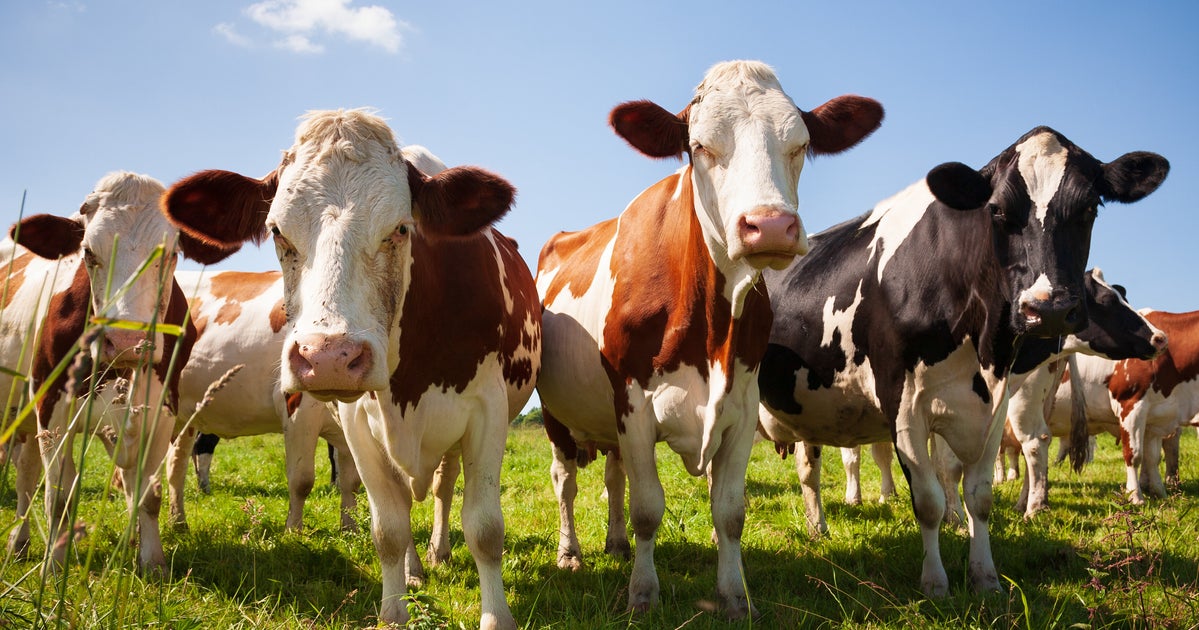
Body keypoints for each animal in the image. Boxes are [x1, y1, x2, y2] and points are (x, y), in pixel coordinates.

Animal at [0, 171, 217, 573]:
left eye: (172, 254)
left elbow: (148, 495)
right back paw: (20, 542)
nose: (127, 340)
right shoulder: (52, 408)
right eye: (88, 252)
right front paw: (54, 566)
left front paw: (152, 562)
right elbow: (59, 498)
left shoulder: (162, 410)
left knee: (27, 470)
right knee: (28, 477)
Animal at [165, 269, 361, 532]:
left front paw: (350, 529)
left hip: (184, 417)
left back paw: (178, 523)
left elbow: (352, 482)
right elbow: (302, 480)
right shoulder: (298, 410)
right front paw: (293, 531)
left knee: (176, 465)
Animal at [535, 60, 883, 617]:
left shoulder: (740, 406)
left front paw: (735, 596)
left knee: (613, 477)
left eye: (801, 144)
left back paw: (615, 543)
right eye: (699, 146)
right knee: (565, 481)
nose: (770, 226)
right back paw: (571, 554)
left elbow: (729, 512)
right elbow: (648, 507)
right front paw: (643, 593)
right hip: (556, 413)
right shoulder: (633, 404)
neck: (709, 327)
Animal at [756, 126, 1169, 597]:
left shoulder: (994, 405)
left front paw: (985, 577)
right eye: (998, 210)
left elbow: (979, 497)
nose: (1046, 309)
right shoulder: (904, 406)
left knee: (808, 469)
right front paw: (935, 583)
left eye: (1089, 208)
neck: (984, 346)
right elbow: (929, 500)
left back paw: (817, 529)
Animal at [1049, 309, 1198, 503]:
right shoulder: (1131, 406)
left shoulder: (1156, 417)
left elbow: (1153, 457)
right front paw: (1135, 496)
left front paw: (1160, 493)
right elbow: (1134, 455)